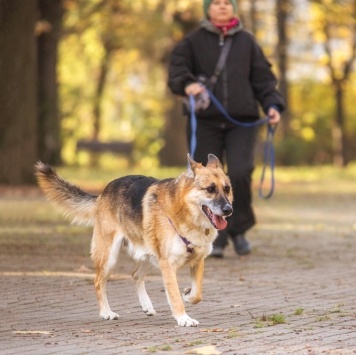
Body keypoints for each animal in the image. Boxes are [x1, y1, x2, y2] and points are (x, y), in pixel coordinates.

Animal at [34, 156, 232, 328]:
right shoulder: (167, 265)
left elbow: (197, 294)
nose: (228, 210)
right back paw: (106, 312)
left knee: (135, 274)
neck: (185, 212)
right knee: (98, 281)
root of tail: (103, 193)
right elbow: (174, 296)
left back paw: (146, 305)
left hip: (149, 256)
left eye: (227, 189)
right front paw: (183, 318)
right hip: (110, 258)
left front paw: (188, 295)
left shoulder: (197, 260)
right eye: (210, 189)